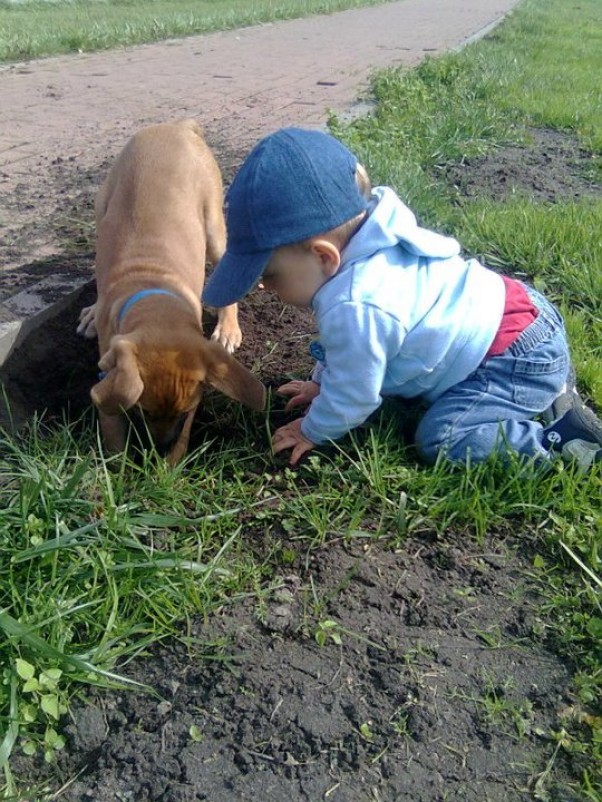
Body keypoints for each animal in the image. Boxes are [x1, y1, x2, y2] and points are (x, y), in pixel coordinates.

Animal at [80, 119, 264, 462]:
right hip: (102, 207)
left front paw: (169, 468)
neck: (153, 288)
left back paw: (228, 329)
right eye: (144, 412)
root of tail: (176, 126)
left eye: (186, 412)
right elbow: (112, 426)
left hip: (214, 224)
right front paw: (119, 468)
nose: (158, 449)